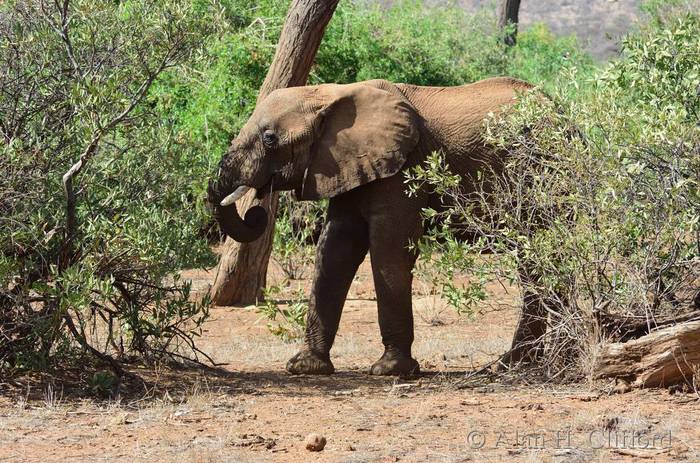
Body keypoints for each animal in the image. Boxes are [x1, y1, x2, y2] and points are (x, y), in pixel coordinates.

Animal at [208, 77, 541, 376]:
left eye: (269, 138)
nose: (256, 212)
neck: (330, 93)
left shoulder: (402, 166)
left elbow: (389, 248)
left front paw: (390, 370)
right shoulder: (345, 165)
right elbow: (336, 248)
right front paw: (304, 367)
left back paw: (514, 364)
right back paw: (518, 363)